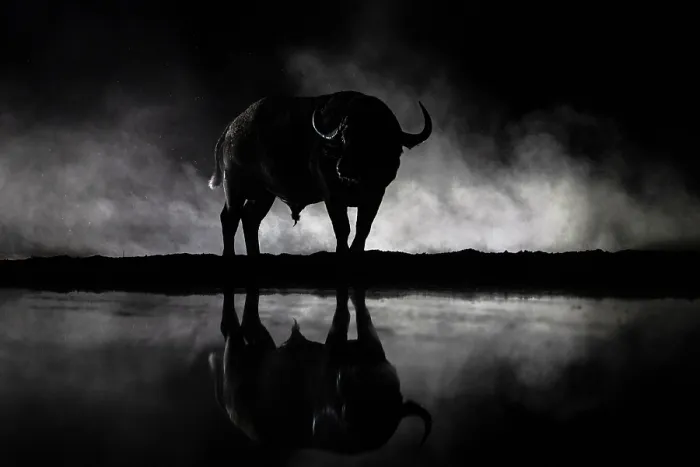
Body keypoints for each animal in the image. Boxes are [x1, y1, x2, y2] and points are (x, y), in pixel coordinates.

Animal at [207, 285, 432, 454]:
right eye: (348, 394)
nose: (346, 377)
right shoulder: (338, 347)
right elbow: (346, 317)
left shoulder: (367, 345)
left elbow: (359, 317)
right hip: (240, 357)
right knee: (233, 327)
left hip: (256, 348)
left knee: (244, 325)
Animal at [208, 91, 432, 256]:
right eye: (345, 136)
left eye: (371, 136)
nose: (343, 167)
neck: (357, 180)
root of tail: (232, 128)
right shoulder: (332, 196)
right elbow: (342, 227)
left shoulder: (376, 195)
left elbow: (363, 227)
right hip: (234, 185)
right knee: (230, 217)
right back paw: (229, 255)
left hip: (264, 194)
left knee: (250, 219)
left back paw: (255, 254)